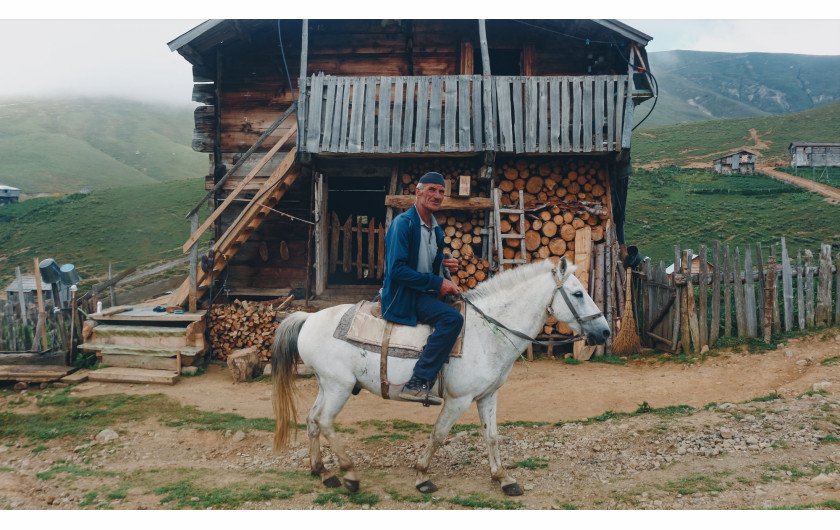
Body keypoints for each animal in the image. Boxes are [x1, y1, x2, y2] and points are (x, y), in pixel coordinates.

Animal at [272, 256, 608, 496]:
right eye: (578, 293)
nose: (604, 331)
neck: (486, 331)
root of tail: (308, 318)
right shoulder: (458, 400)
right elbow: (438, 434)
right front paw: (422, 475)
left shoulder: (488, 395)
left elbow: (492, 435)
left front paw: (503, 478)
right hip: (338, 387)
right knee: (325, 422)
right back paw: (349, 474)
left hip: (326, 385)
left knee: (312, 420)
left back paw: (322, 471)